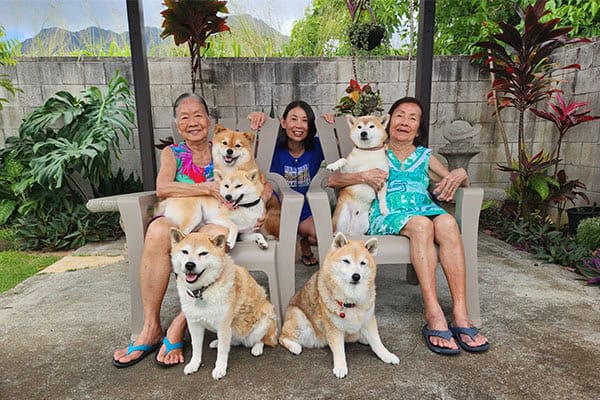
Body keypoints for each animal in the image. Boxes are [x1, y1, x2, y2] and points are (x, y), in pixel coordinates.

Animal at [171, 230, 278, 380]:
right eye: (185, 252)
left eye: (203, 253)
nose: (189, 265)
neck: (203, 290)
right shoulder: (194, 324)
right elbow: (196, 348)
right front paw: (194, 364)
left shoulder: (223, 325)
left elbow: (222, 352)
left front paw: (220, 368)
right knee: (233, 341)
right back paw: (217, 342)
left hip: (264, 320)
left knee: (261, 339)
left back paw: (257, 348)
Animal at [278, 231, 398, 378]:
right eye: (346, 261)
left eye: (363, 263)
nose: (356, 276)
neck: (351, 299)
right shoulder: (333, 327)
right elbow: (339, 350)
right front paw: (340, 366)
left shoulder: (368, 319)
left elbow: (377, 341)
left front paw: (386, 355)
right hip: (299, 318)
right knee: (282, 337)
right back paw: (294, 346)